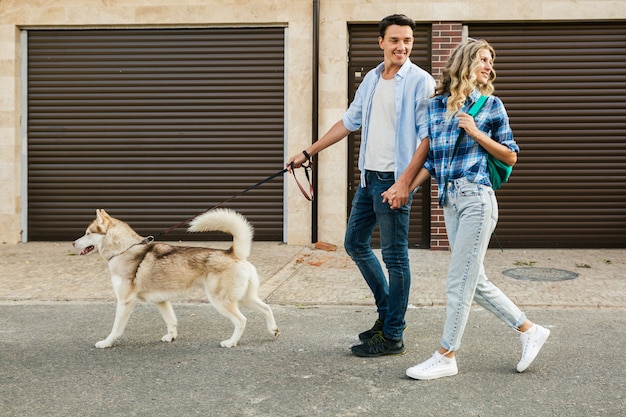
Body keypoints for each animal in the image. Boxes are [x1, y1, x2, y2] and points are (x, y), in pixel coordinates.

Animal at [72, 208, 280, 348]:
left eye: (88, 233)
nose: (73, 242)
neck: (124, 249)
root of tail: (233, 253)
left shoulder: (125, 302)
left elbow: (116, 328)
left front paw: (106, 342)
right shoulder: (161, 301)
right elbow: (171, 321)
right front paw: (171, 337)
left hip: (222, 301)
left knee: (241, 320)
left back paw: (231, 342)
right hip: (245, 298)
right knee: (267, 308)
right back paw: (273, 330)